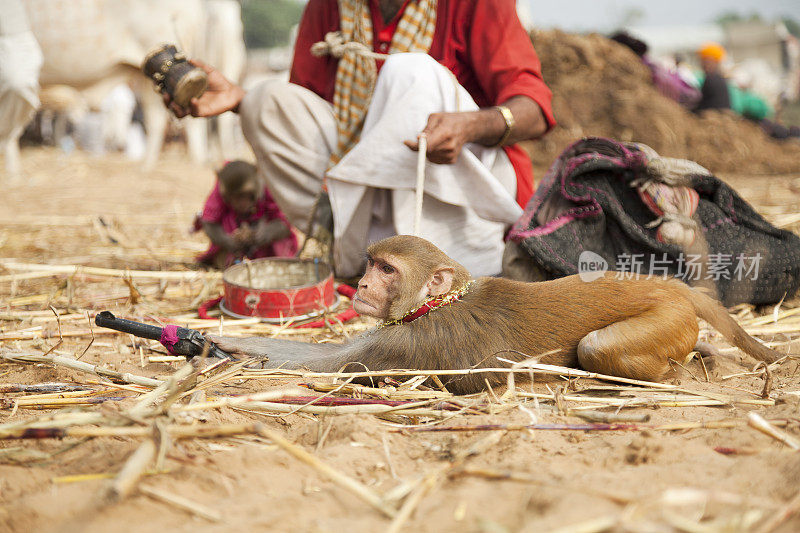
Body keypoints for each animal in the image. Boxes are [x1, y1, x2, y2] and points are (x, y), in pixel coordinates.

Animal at [208, 235, 780, 392]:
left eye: (387, 269)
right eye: (371, 265)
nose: (364, 285)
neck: (437, 302)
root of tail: (665, 285)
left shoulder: (409, 342)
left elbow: (329, 366)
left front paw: (237, 348)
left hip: (662, 318)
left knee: (597, 347)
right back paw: (703, 352)